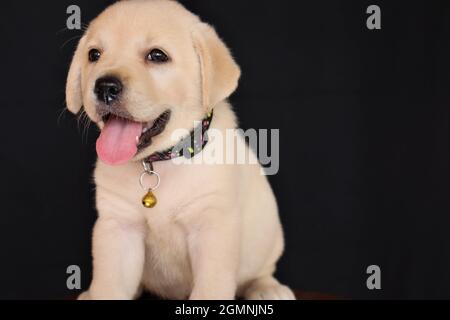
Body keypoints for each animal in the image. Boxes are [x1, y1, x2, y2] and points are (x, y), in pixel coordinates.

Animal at [65, 0, 294, 300]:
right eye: (94, 54)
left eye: (157, 55)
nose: (104, 86)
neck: (160, 163)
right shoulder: (117, 229)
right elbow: (109, 287)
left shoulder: (212, 228)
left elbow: (210, 289)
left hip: (269, 238)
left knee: (261, 271)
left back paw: (268, 288)